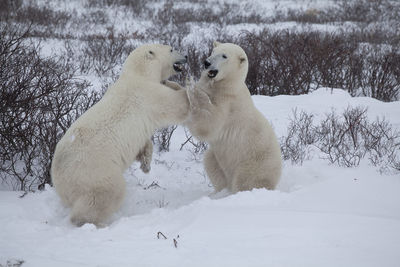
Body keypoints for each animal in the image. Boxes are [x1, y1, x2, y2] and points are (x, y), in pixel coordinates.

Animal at [51, 44, 189, 228]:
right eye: (171, 49)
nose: (186, 56)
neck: (140, 73)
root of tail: (58, 174)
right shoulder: (149, 95)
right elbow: (177, 105)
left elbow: (144, 144)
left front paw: (146, 164)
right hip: (94, 171)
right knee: (107, 192)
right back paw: (92, 221)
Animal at [184, 41, 282, 193]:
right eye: (213, 51)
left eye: (224, 56)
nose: (207, 62)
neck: (228, 86)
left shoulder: (228, 107)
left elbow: (208, 124)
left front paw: (191, 83)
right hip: (217, 159)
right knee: (211, 162)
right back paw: (219, 191)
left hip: (254, 162)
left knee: (246, 180)